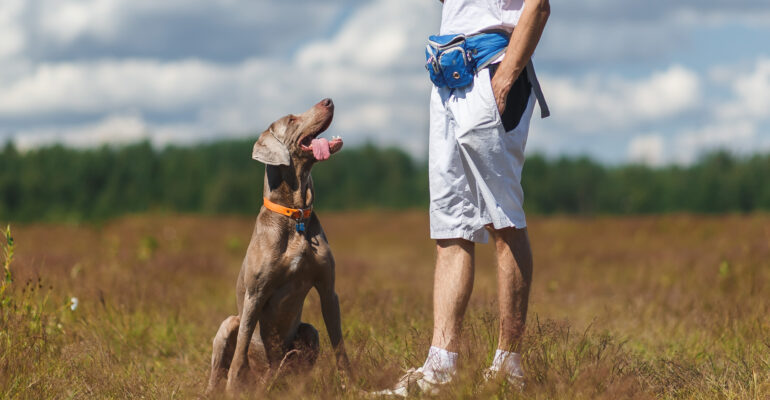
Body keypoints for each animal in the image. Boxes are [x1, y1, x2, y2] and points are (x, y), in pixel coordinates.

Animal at [204, 98, 348, 396]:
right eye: (292, 119)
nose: (328, 100)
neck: (295, 215)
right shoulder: (255, 294)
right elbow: (241, 350)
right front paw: (233, 390)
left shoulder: (328, 290)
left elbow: (340, 346)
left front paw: (351, 385)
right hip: (228, 324)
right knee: (221, 366)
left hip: (309, 332)